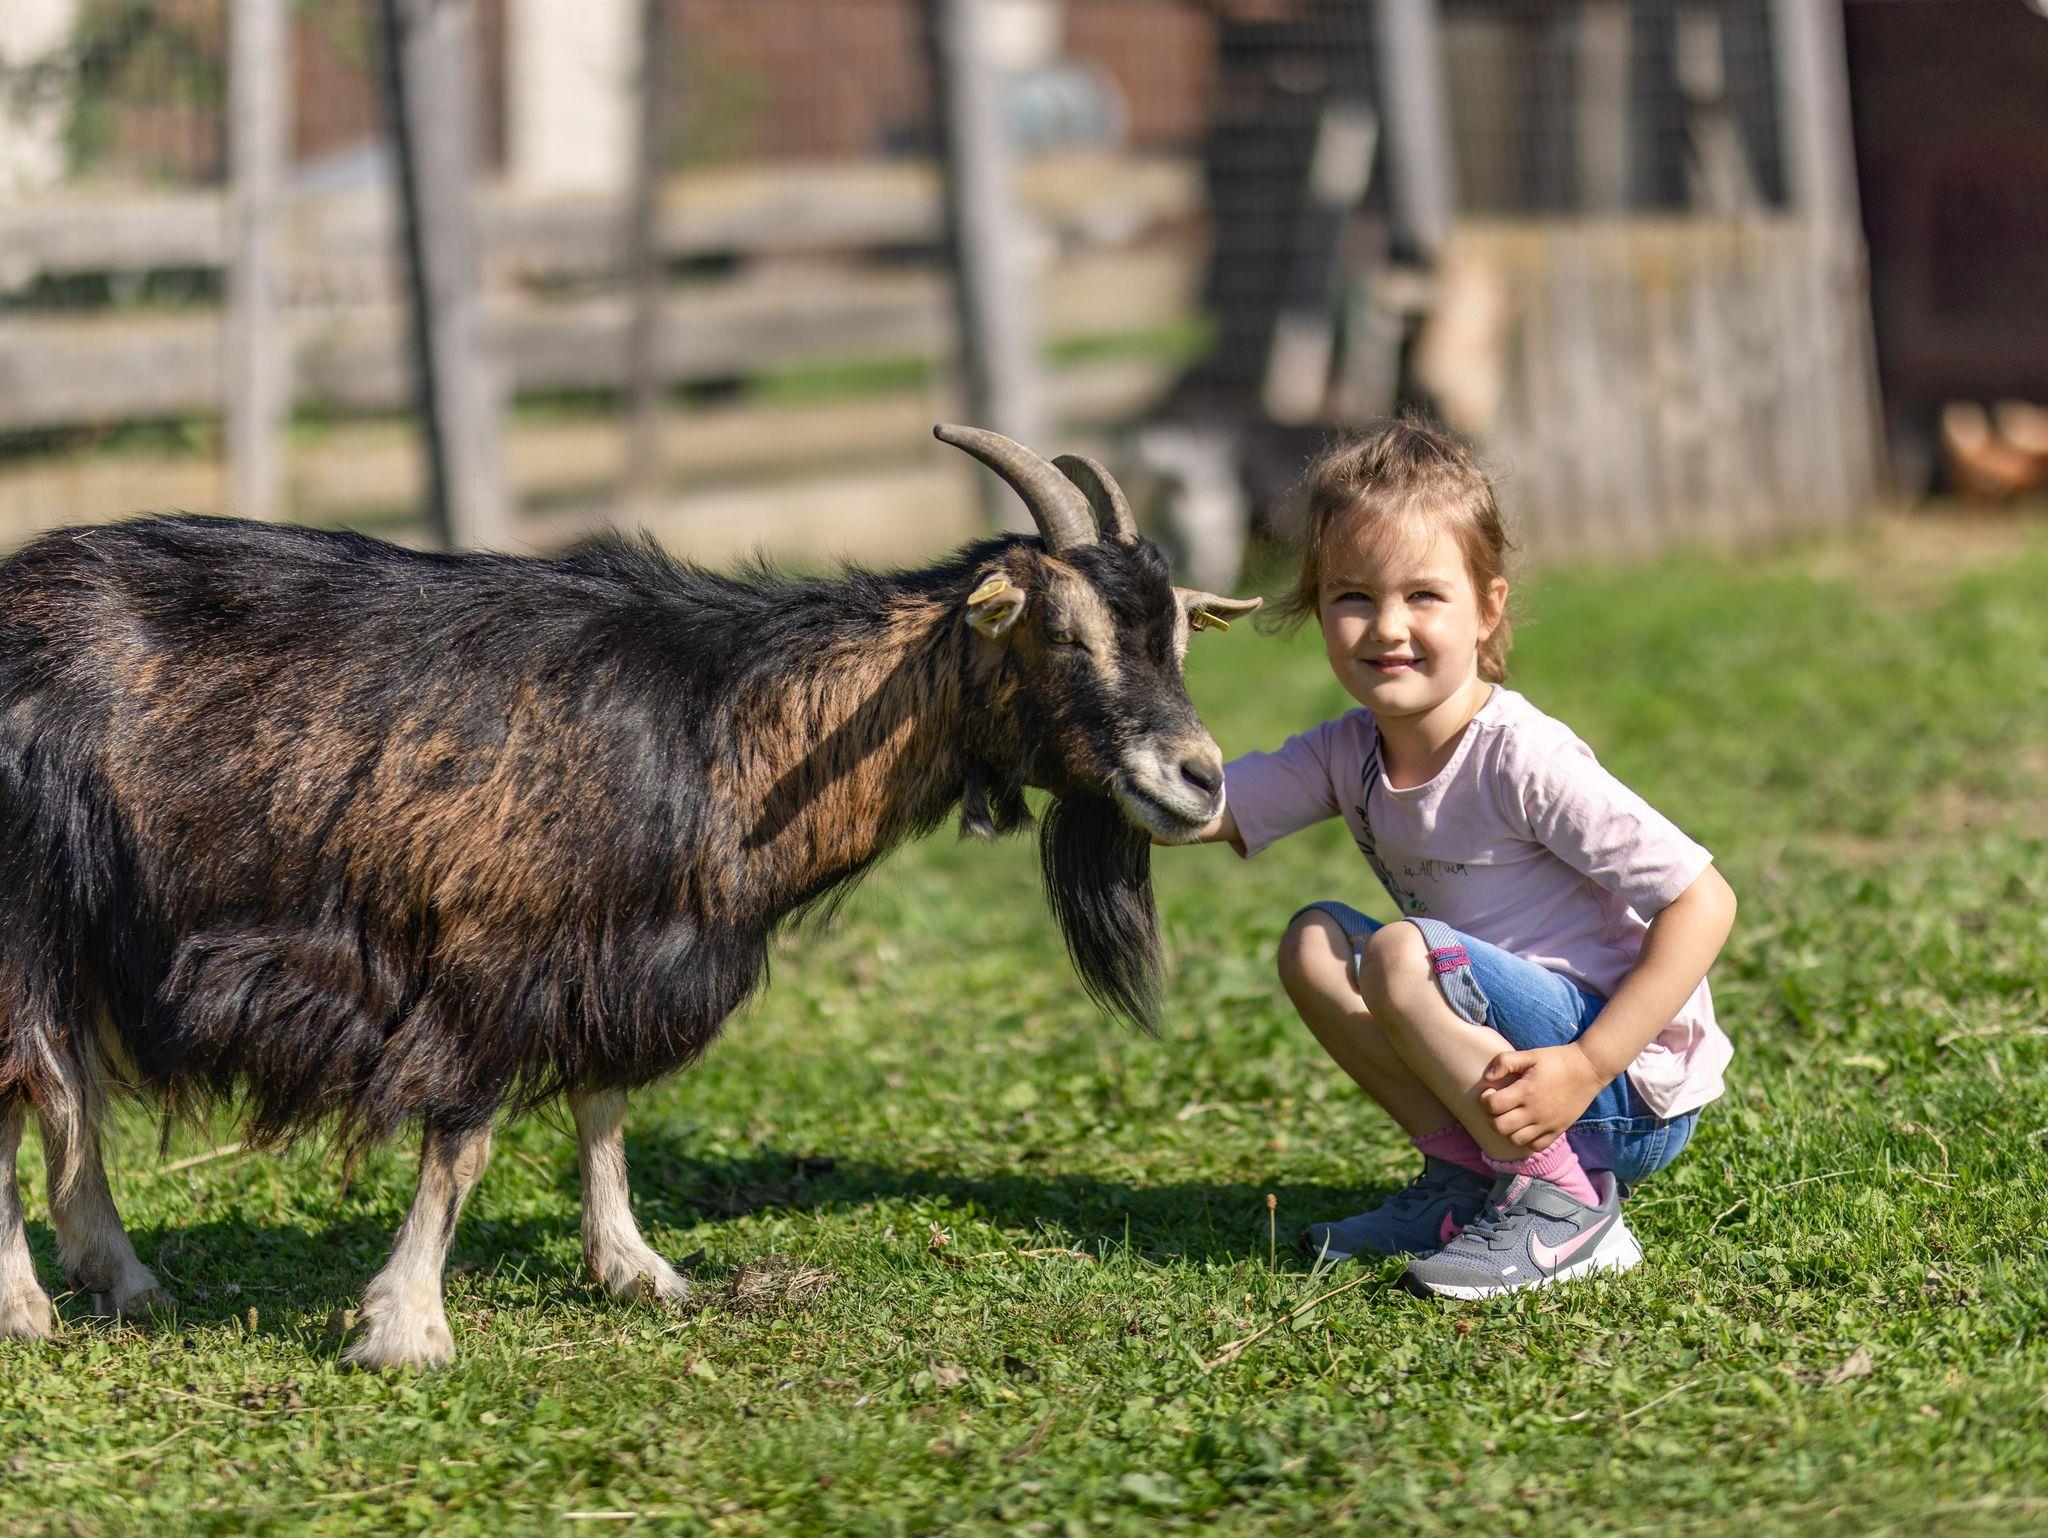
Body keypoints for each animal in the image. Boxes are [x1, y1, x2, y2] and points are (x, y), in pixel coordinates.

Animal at [0, 425, 1260, 1367]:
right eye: (1060, 630)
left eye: (1179, 632)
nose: (1199, 779)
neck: (727, 720)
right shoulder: (490, 949)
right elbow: (463, 1138)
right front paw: (405, 1325)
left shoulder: (614, 942)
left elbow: (602, 1103)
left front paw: (637, 1268)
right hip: (30, 903)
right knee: (24, 1081)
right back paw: (28, 1305)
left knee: (56, 1086)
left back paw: (121, 1273)